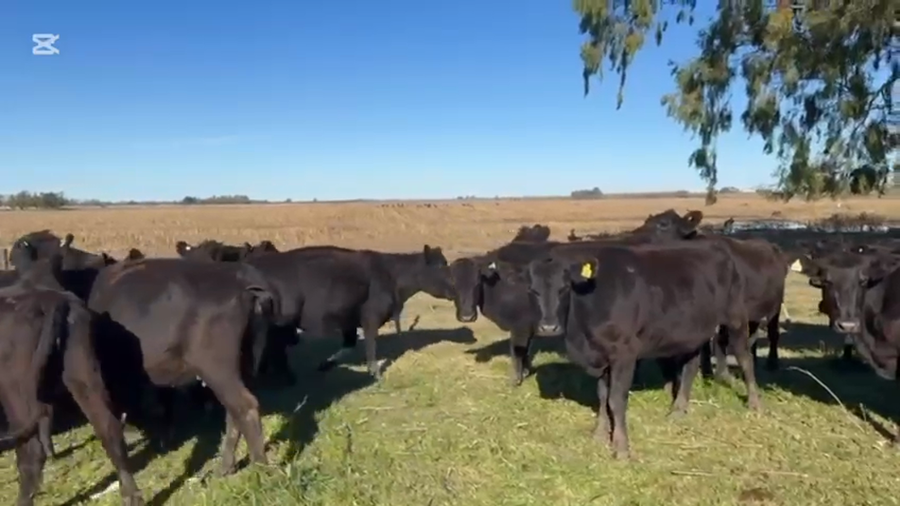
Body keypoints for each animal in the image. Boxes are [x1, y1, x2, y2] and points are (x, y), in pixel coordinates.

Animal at [0, 257, 143, 506]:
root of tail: (52, 300)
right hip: (82, 374)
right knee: (109, 428)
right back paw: (131, 494)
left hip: (15, 391)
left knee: (31, 452)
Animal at [85, 258, 280, 476]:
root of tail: (242, 278)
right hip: (244, 365)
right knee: (234, 413)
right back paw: (226, 467)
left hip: (218, 370)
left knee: (245, 407)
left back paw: (260, 467)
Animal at [247, 244, 452, 385]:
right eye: (440, 267)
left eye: (446, 263)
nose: (453, 289)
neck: (391, 275)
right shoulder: (371, 316)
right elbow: (370, 345)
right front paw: (375, 373)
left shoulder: (349, 320)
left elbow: (349, 344)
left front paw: (326, 364)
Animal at [519, 241, 760, 459]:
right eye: (533, 290)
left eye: (564, 288)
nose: (548, 327)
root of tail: (715, 246)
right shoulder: (602, 355)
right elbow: (602, 397)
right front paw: (599, 435)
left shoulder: (624, 353)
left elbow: (616, 400)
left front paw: (621, 448)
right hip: (693, 332)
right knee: (690, 368)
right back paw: (678, 410)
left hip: (736, 318)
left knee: (745, 359)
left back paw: (755, 404)